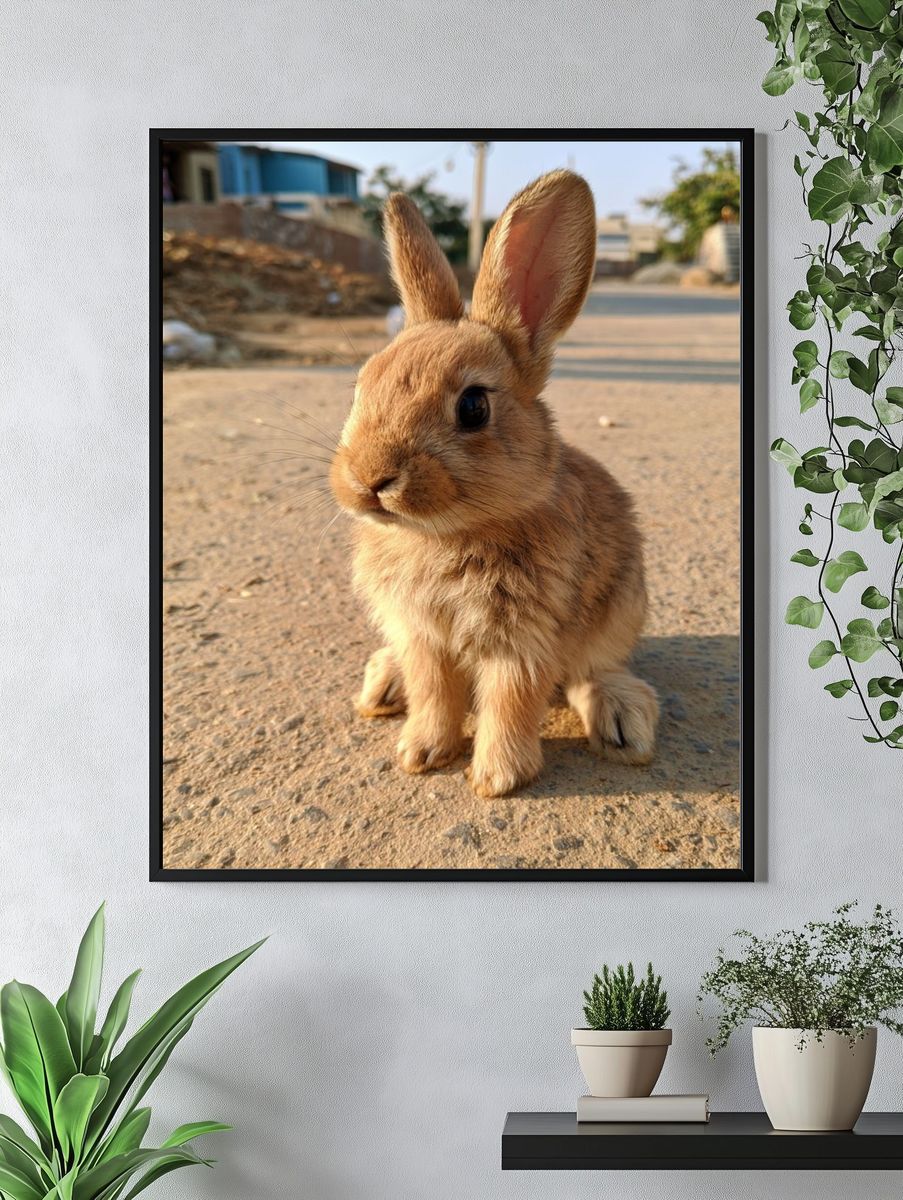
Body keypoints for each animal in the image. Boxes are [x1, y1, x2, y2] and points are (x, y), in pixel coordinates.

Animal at [330, 169, 658, 798]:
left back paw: (622, 720)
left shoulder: (524, 638)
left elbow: (512, 699)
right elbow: (435, 692)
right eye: (360, 386)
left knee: (593, 671)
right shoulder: (423, 636)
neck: (443, 534)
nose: (369, 478)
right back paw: (385, 685)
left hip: (620, 611)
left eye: (474, 407)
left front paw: (496, 778)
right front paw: (422, 752)